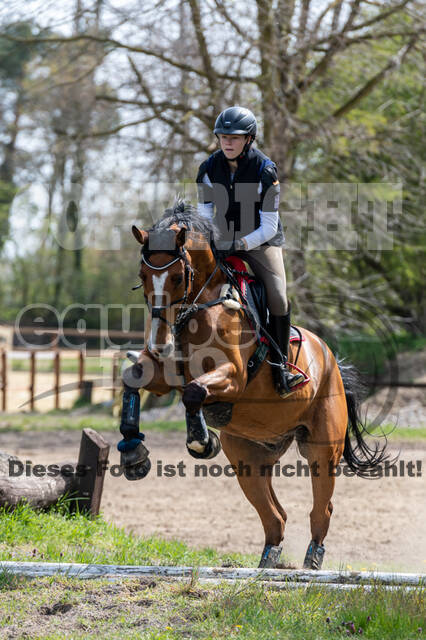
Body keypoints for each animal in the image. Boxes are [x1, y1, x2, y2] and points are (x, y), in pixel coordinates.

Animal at [119, 200, 386, 568]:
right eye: (142, 276)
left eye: (177, 276)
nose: (159, 343)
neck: (200, 306)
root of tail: (330, 357)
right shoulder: (165, 374)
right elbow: (133, 378)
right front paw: (133, 454)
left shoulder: (233, 376)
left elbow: (194, 392)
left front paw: (202, 441)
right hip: (249, 456)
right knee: (275, 516)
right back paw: (267, 563)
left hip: (322, 447)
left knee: (322, 509)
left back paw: (312, 560)